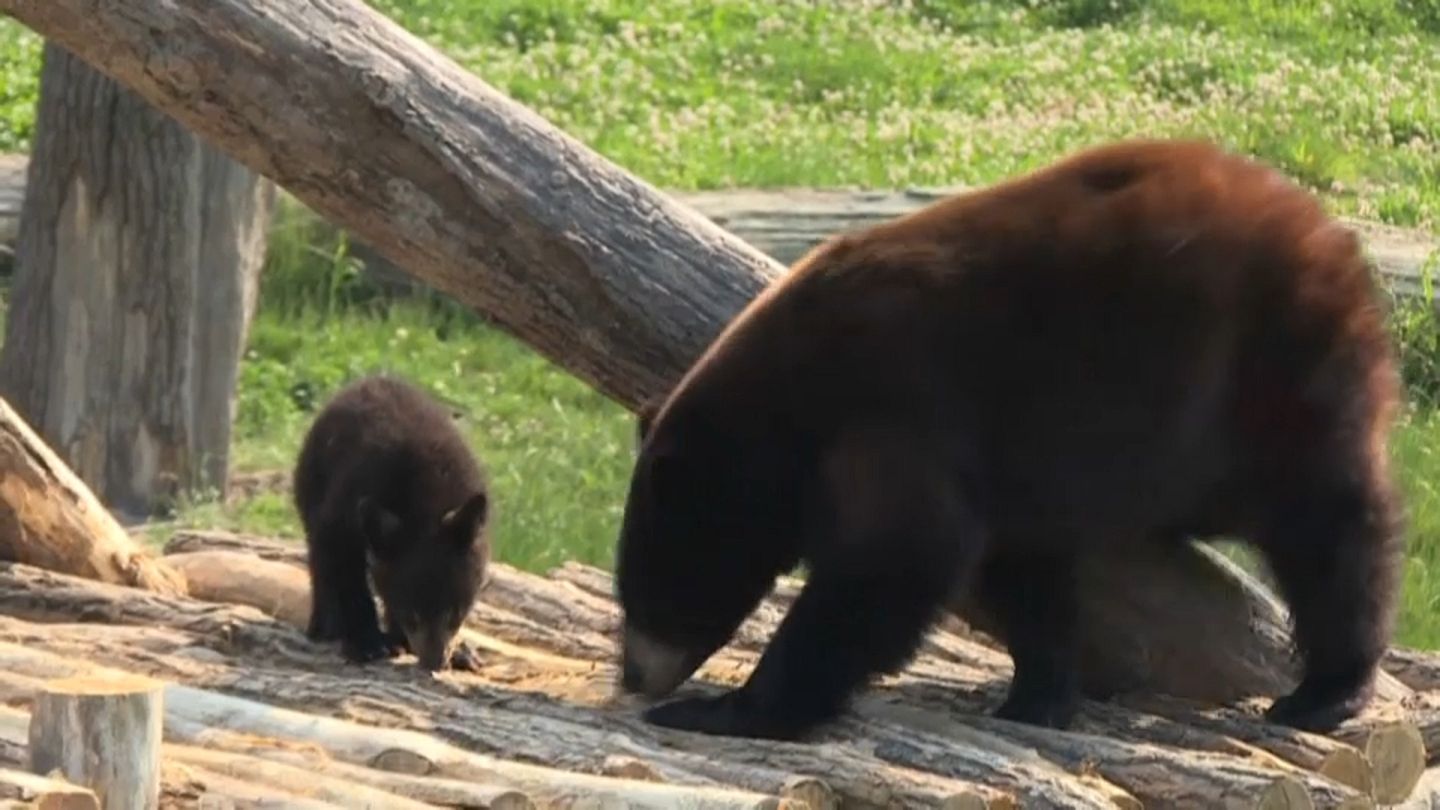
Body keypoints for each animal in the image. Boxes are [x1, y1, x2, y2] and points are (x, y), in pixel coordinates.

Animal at [295, 371, 492, 668]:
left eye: (454, 613)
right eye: (412, 613)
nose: (433, 662)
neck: (426, 501)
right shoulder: (349, 498)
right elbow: (340, 559)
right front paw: (368, 644)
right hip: (311, 480)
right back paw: (323, 628)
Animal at [619, 136, 1405, 737]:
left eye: (646, 589)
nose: (632, 675)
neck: (789, 400)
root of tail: (1329, 230)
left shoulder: (894, 405)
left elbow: (895, 556)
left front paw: (724, 707)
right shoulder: (1011, 463)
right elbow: (1022, 572)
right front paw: (1038, 693)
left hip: (1274, 372)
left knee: (1329, 529)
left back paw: (1325, 690)